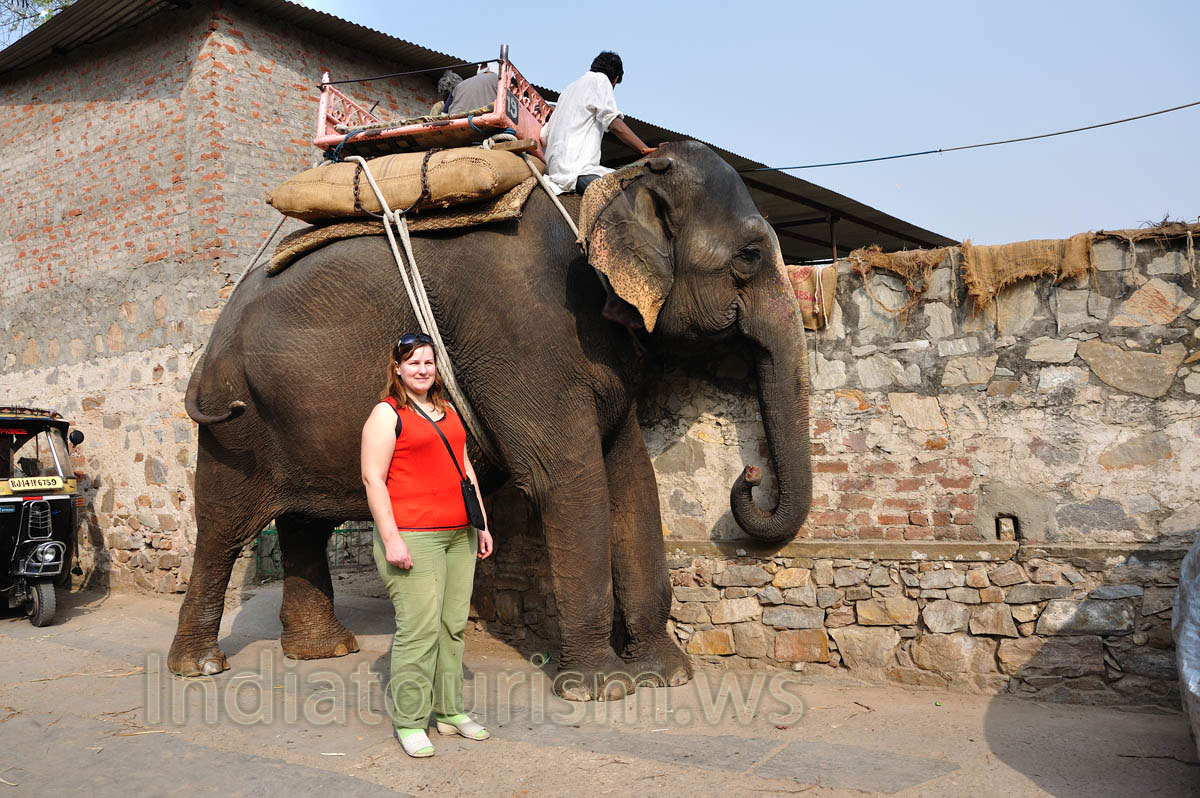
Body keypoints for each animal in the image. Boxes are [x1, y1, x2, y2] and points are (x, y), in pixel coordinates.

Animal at [167, 140, 813, 700]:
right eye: (750, 257)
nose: (751, 474)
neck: (608, 188)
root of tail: (216, 331)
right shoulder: (523, 334)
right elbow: (568, 480)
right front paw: (604, 689)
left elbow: (632, 478)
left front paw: (669, 675)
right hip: (235, 424)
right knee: (223, 527)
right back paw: (199, 666)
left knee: (305, 522)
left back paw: (323, 652)